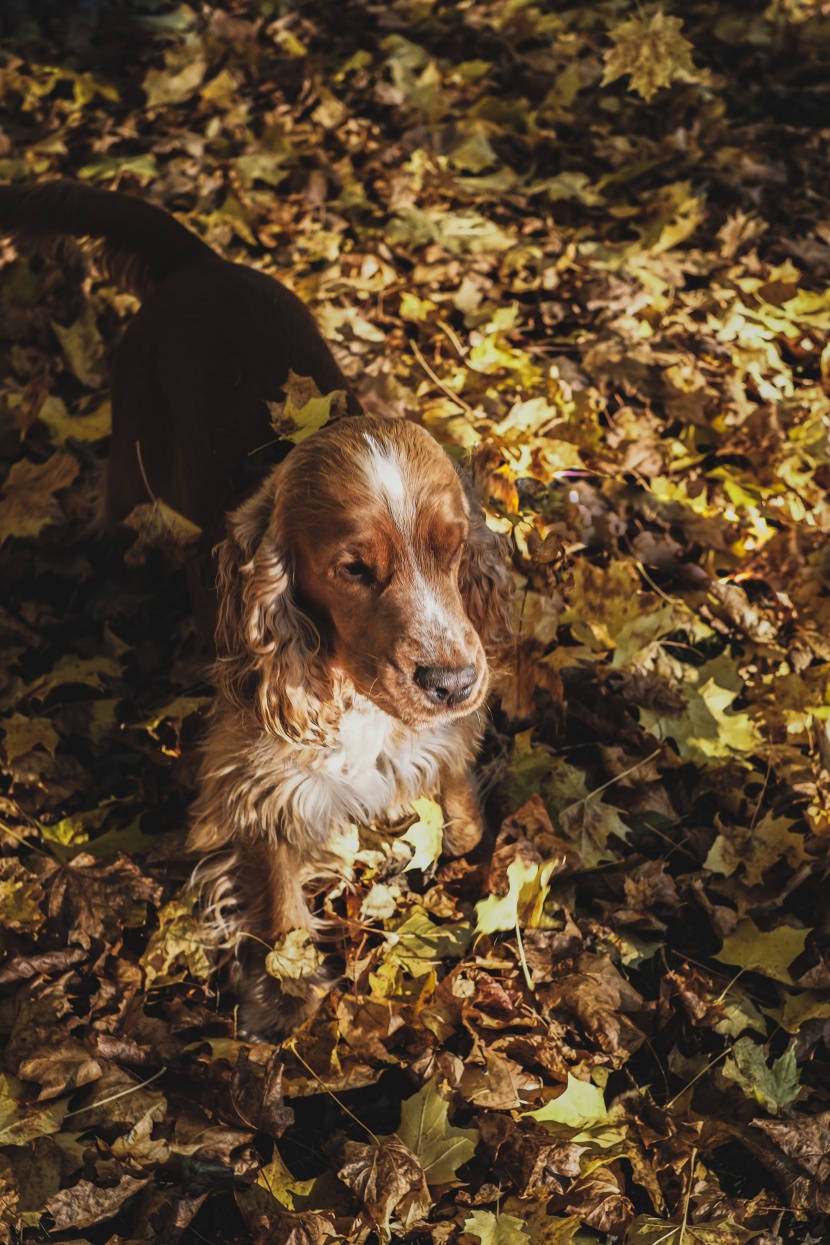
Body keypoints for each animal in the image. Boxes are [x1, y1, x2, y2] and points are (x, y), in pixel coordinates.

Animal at [0, 180, 515, 1035]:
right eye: (352, 569)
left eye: (452, 548)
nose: (451, 683)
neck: (348, 689)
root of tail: (200, 263)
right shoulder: (258, 784)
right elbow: (273, 886)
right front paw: (284, 987)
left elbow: (461, 810)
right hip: (132, 457)